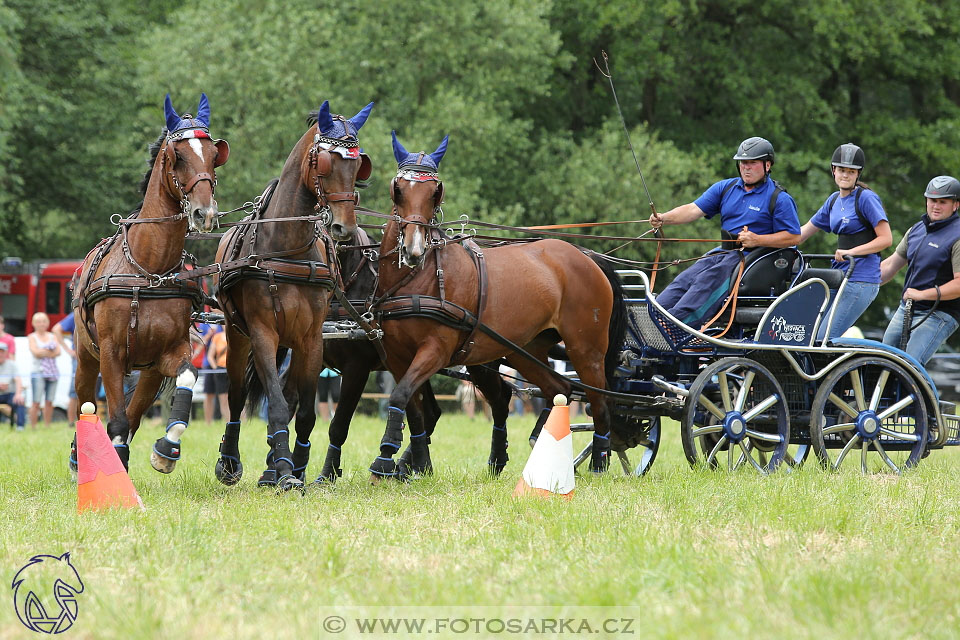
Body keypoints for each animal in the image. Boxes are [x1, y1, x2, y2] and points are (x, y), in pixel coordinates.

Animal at [72, 92, 230, 472]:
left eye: (214, 155)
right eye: (178, 156)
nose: (205, 213)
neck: (148, 269)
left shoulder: (168, 353)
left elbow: (186, 377)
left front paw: (167, 447)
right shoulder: (111, 353)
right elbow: (113, 418)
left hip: (147, 371)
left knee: (135, 411)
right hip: (86, 357)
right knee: (87, 405)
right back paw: (80, 457)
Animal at [214, 100, 376, 492]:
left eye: (358, 165)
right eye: (326, 162)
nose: (343, 226)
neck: (287, 248)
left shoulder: (311, 337)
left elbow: (304, 412)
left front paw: (298, 466)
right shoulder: (262, 333)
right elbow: (274, 405)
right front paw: (286, 472)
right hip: (236, 335)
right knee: (237, 396)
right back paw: (231, 462)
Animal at [368, 132, 632, 478]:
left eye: (435, 192)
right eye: (397, 188)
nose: (413, 249)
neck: (419, 279)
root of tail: (587, 256)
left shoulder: (436, 350)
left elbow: (402, 395)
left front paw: (385, 458)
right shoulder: (397, 356)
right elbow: (411, 407)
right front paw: (417, 463)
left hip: (586, 349)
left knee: (599, 402)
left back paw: (599, 462)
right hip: (525, 350)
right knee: (558, 389)